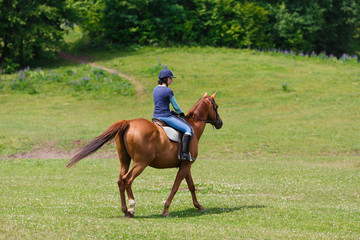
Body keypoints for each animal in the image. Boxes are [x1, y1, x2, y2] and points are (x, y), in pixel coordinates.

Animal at [65, 92, 222, 218]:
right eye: (216, 106)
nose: (220, 123)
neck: (193, 126)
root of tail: (128, 123)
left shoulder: (185, 165)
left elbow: (191, 185)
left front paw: (199, 206)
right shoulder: (185, 165)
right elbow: (176, 186)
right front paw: (166, 210)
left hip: (125, 160)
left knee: (120, 180)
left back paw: (125, 210)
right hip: (141, 163)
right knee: (127, 180)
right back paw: (131, 207)